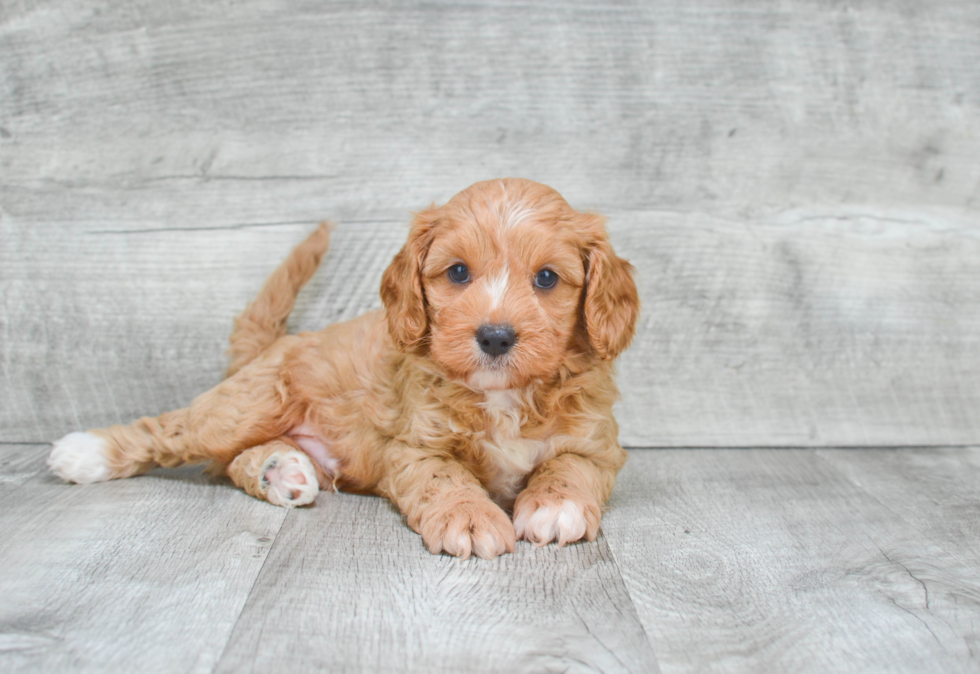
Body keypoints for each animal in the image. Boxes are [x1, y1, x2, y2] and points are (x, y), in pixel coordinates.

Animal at [47, 177, 644, 556]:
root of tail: (272, 346)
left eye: (546, 278)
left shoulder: (596, 444)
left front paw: (554, 507)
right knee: (173, 430)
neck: (504, 394)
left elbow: (568, 465)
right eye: (457, 272)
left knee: (231, 460)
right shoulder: (413, 446)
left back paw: (280, 470)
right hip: (248, 404)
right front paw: (470, 517)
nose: (495, 336)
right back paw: (85, 452)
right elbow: (444, 476)